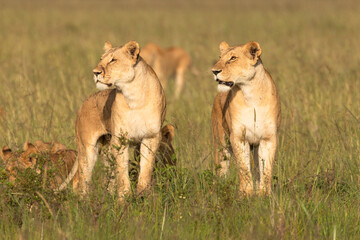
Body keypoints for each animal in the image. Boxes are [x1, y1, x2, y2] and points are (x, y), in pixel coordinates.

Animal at [70, 40, 167, 199]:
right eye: (101, 59)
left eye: (113, 60)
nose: (95, 72)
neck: (134, 95)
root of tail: (85, 102)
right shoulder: (120, 140)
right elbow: (122, 173)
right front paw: (124, 197)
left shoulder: (151, 137)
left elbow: (146, 168)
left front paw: (143, 195)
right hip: (87, 148)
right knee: (81, 178)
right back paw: (83, 201)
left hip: (107, 148)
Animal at [211, 40, 282, 195]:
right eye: (219, 57)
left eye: (233, 58)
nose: (214, 71)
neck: (251, 92)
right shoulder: (239, 137)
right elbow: (244, 169)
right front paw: (246, 194)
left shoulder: (268, 138)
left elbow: (266, 170)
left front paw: (264, 195)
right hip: (221, 142)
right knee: (221, 168)